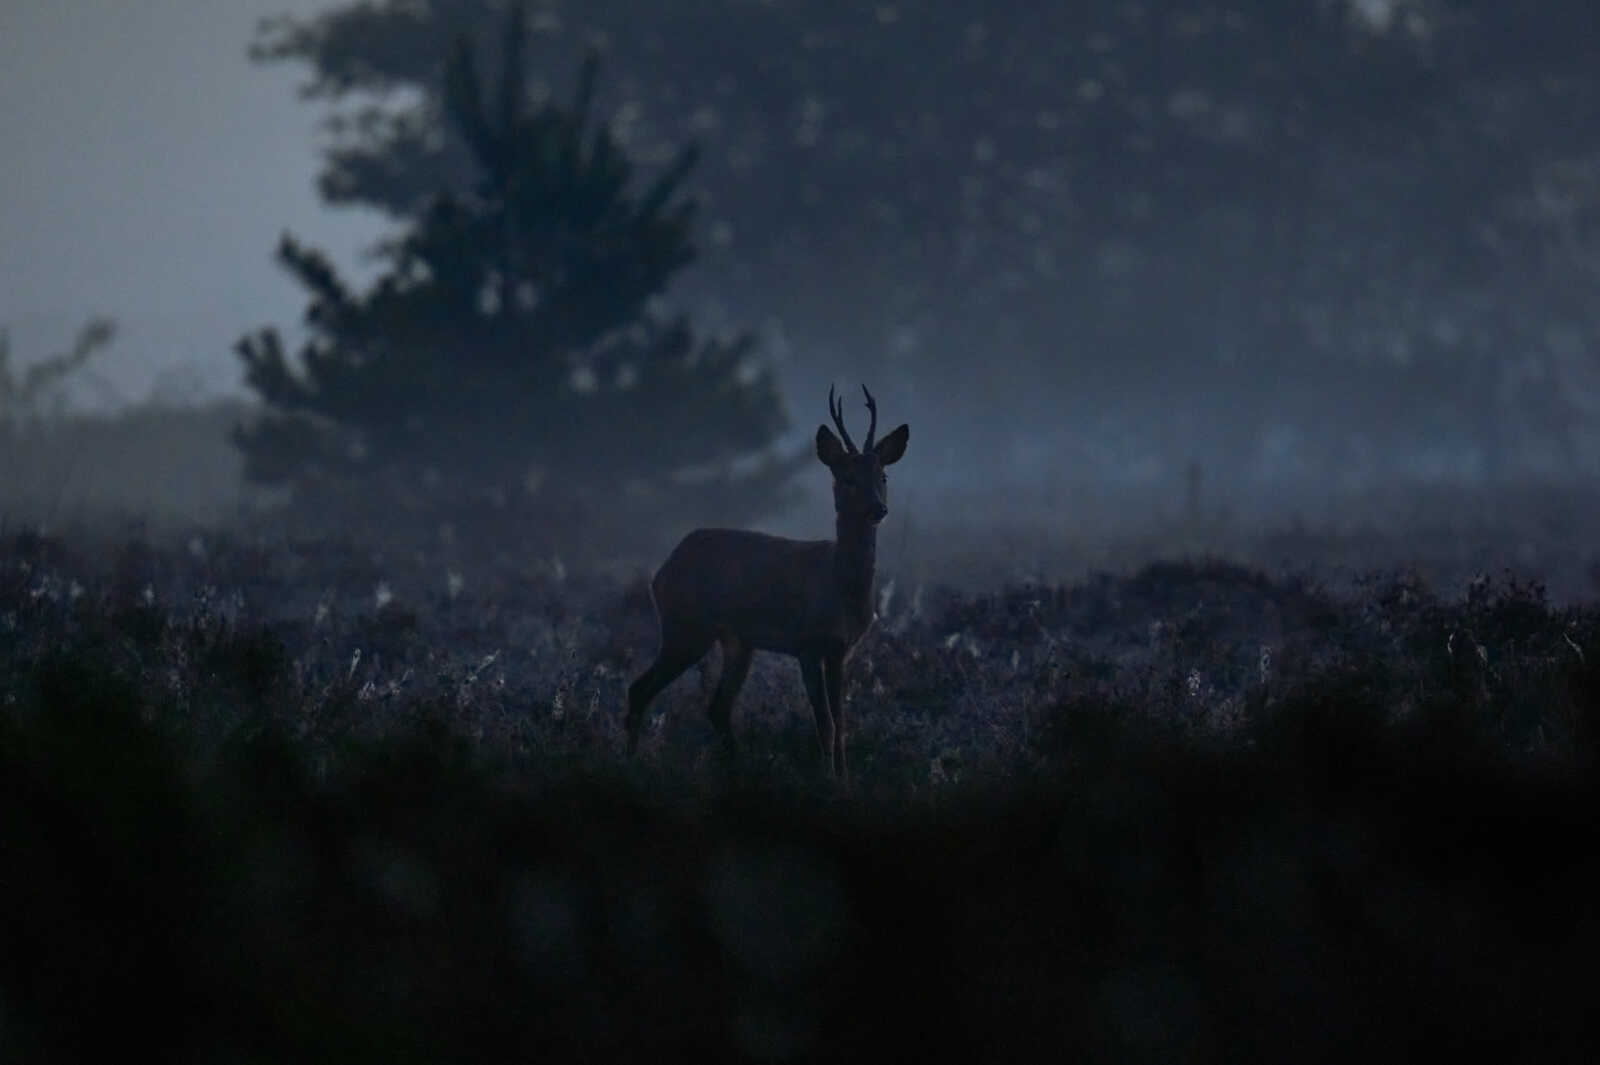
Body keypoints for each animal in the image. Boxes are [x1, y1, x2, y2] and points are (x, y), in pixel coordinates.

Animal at [626, 385, 909, 781]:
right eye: (848, 478)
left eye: (883, 477)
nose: (877, 510)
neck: (839, 586)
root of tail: (662, 571)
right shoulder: (807, 643)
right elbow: (825, 723)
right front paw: (828, 782)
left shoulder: (841, 650)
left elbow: (841, 722)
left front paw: (845, 781)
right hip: (686, 627)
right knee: (641, 689)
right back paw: (629, 764)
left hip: (736, 641)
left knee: (716, 707)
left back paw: (737, 770)